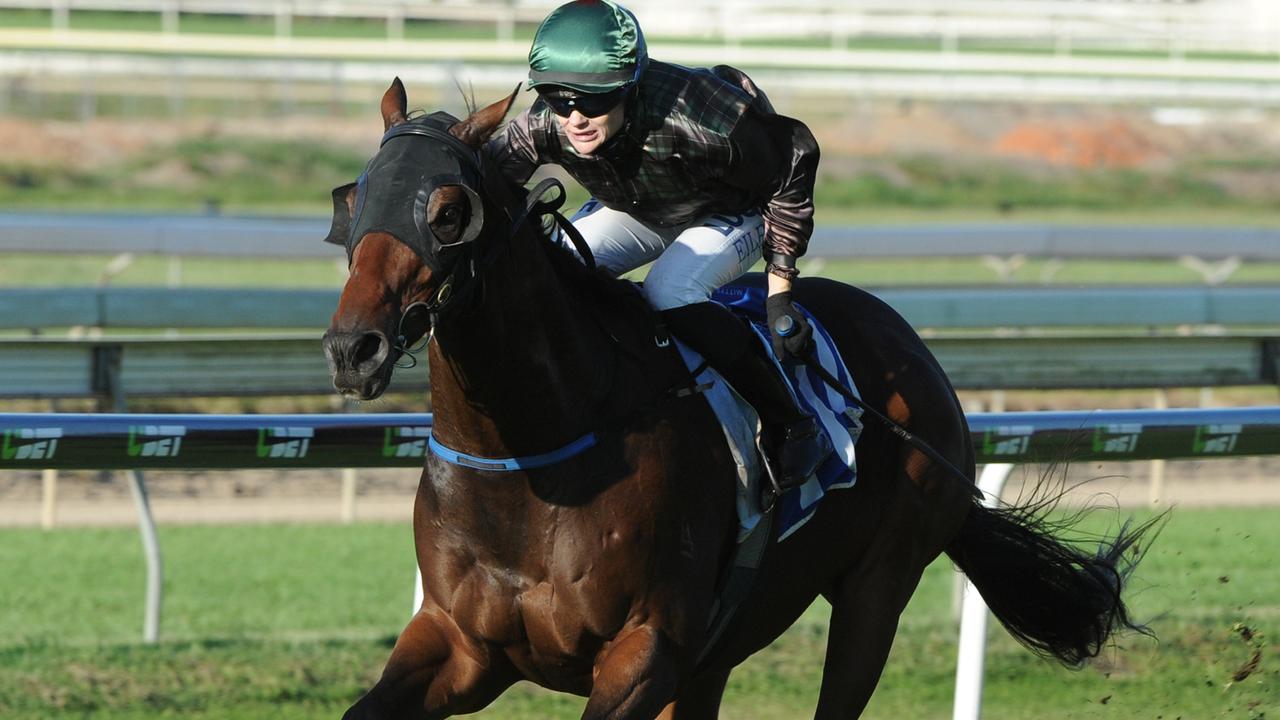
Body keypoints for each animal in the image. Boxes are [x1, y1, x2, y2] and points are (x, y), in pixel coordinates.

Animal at [322, 78, 1162, 717]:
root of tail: (914, 349)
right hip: (724, 642)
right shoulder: (462, 645)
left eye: (447, 212)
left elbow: (791, 146)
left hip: (876, 590)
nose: (353, 348)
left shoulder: (645, 648)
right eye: (352, 201)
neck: (530, 455)